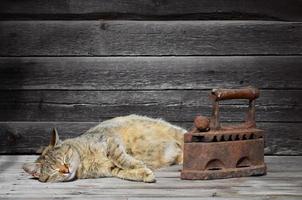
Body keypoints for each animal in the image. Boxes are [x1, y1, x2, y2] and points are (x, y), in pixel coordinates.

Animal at [22, 115, 185, 182]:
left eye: (65, 159)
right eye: (54, 171)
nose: (66, 170)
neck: (84, 162)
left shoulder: (110, 143)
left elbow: (122, 160)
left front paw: (138, 164)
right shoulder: (110, 170)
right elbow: (123, 172)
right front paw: (144, 174)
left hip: (176, 133)